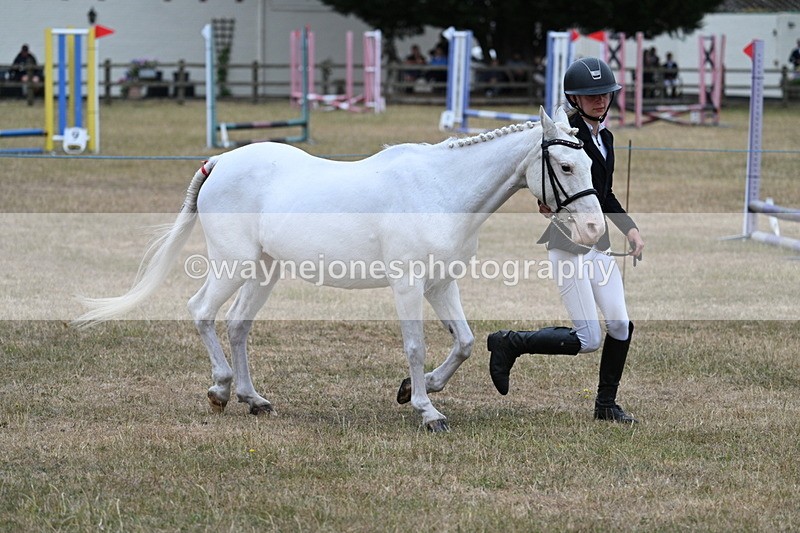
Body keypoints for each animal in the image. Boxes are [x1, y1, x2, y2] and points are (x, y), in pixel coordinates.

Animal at [74, 106, 604, 433]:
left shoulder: (441, 282)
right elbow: (415, 346)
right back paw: (220, 390)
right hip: (233, 264)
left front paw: (417, 388)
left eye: (587, 161)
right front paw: (427, 410)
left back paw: (252, 398)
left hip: (265, 270)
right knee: (202, 311)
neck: (439, 190)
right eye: (565, 165)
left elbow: (466, 342)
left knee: (238, 324)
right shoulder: (408, 285)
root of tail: (220, 162)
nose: (594, 230)